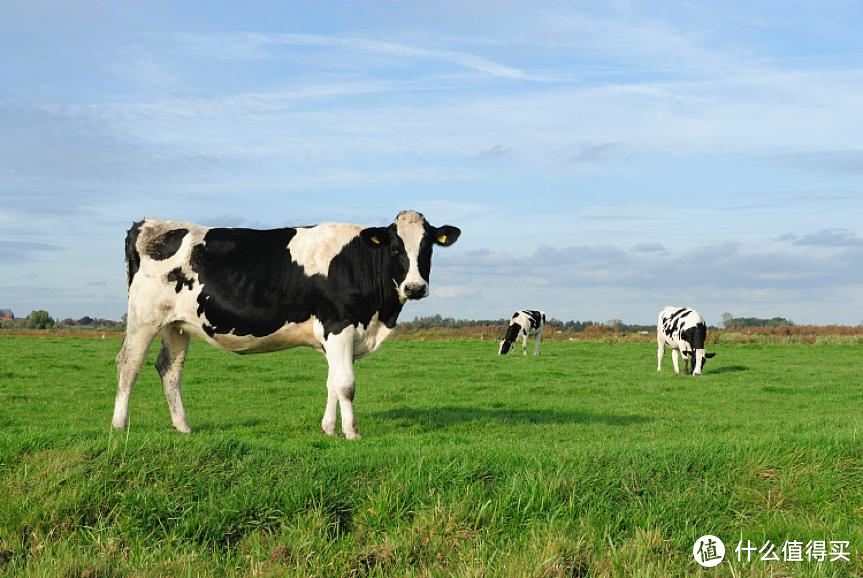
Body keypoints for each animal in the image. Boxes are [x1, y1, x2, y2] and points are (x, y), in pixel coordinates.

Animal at [113, 209, 460, 438]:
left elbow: (332, 382)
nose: (415, 287)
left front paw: (328, 429)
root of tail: (147, 224)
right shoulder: (339, 325)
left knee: (169, 369)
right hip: (143, 318)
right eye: (395, 247)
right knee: (129, 364)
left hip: (177, 324)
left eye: (427, 247)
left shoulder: (332, 336)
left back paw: (183, 426)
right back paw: (119, 425)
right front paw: (352, 433)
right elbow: (346, 384)